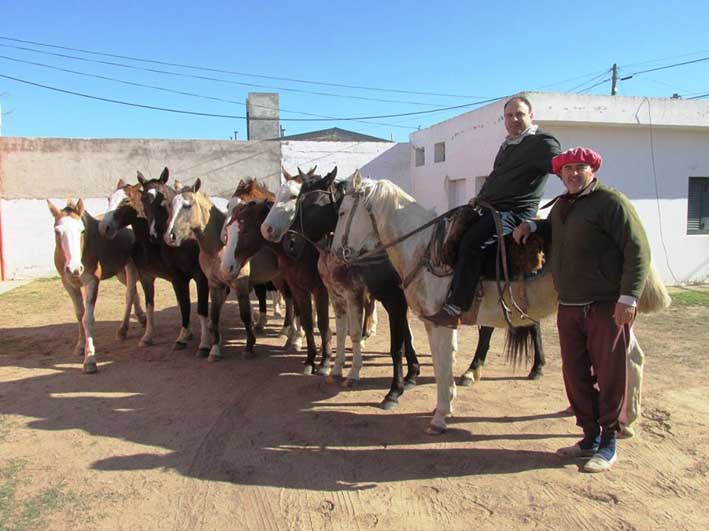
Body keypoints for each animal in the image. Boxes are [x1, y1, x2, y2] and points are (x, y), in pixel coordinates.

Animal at [48, 198, 145, 374]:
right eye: (57, 232)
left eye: (82, 231)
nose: (74, 268)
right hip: (119, 272)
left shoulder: (92, 281)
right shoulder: (69, 284)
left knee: (129, 293)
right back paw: (140, 319)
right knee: (133, 291)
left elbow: (88, 318)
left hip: (131, 265)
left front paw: (90, 359)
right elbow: (79, 314)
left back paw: (123, 329)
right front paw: (80, 346)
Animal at [99, 170, 210, 356]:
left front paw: (203, 342)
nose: (104, 227)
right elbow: (160, 304)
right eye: (109, 199)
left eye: (126, 200)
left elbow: (199, 308)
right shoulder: (157, 277)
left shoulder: (199, 277)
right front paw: (150, 336)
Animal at [163, 179, 254, 362]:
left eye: (187, 205)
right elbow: (213, 316)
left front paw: (248, 347)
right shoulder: (214, 284)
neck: (219, 247)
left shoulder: (239, 284)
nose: (170, 236)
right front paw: (214, 349)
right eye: (170, 205)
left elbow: (245, 314)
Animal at [266, 166, 420, 408]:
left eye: (310, 204)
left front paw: (355, 374)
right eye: (297, 200)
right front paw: (336, 370)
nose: (290, 243)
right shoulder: (337, 296)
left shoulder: (364, 295)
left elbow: (359, 334)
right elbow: (339, 332)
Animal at [330, 177, 668, 434]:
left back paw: (626, 421)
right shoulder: (432, 323)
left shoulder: (440, 323)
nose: (334, 253)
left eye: (343, 211)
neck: (425, 250)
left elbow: (440, 366)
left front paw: (439, 416)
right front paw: (445, 406)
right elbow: (440, 366)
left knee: (630, 359)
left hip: (614, 316)